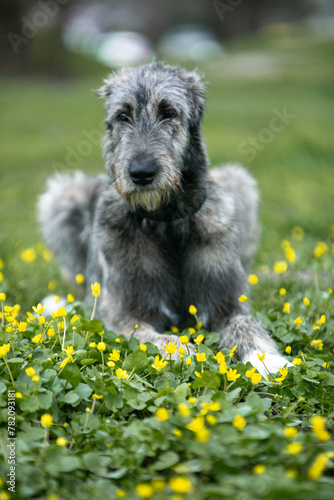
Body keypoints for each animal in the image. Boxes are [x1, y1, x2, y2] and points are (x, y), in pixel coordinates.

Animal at [38, 61, 290, 376]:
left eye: (169, 111)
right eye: (122, 115)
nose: (142, 173)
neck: (165, 220)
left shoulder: (227, 304)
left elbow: (246, 322)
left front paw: (266, 359)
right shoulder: (122, 318)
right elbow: (152, 336)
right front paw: (184, 351)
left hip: (239, 181)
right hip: (61, 197)